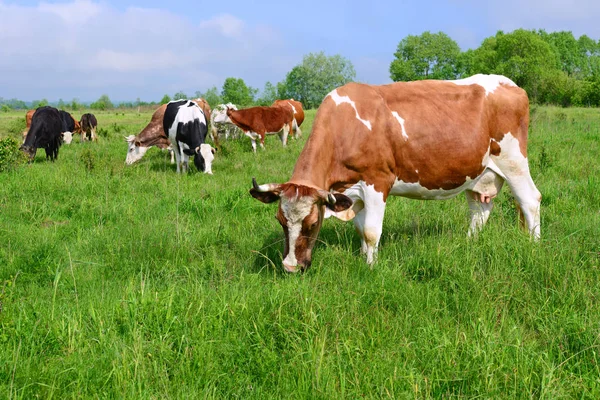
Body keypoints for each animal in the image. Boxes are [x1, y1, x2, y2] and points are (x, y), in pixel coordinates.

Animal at [251, 73, 540, 274]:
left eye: (311, 223)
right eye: (280, 220)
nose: (290, 267)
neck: (346, 127)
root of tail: (509, 83)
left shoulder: (377, 181)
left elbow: (371, 231)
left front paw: (371, 269)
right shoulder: (353, 192)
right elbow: (360, 229)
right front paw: (363, 258)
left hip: (513, 161)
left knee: (530, 200)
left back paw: (533, 244)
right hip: (478, 172)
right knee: (479, 210)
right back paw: (469, 244)